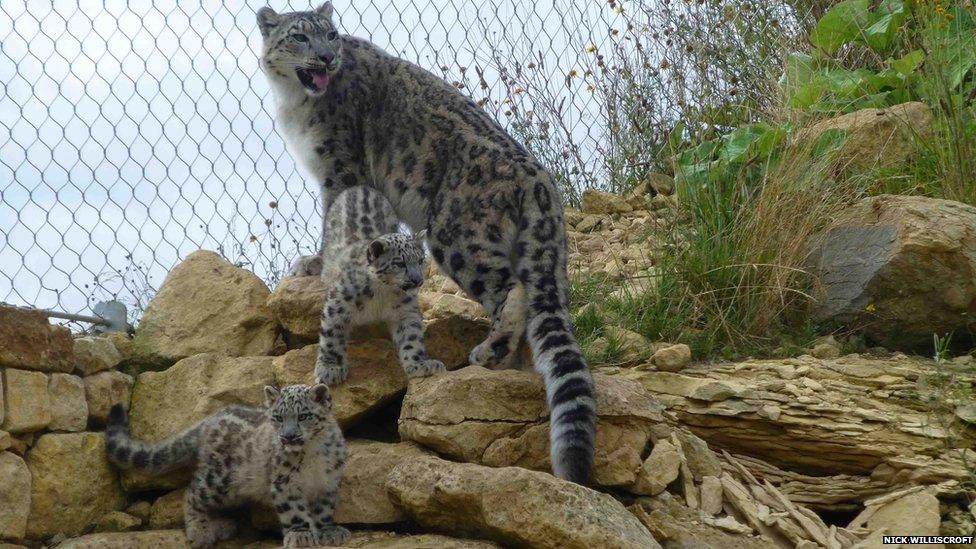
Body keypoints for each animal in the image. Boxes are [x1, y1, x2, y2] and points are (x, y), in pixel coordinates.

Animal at [105, 384, 348, 544]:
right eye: (278, 417)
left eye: (304, 416)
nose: (288, 436)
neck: (312, 454)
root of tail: (209, 420)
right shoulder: (284, 482)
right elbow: (295, 510)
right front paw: (301, 535)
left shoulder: (329, 481)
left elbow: (324, 509)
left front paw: (329, 532)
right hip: (219, 480)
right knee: (192, 493)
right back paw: (201, 530)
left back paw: (223, 526)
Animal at [258, 2, 596, 482]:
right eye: (301, 36)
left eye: (331, 34)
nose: (326, 57)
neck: (295, 102)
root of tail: (542, 182)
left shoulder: (339, 165)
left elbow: (331, 215)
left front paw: (316, 262)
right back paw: (506, 358)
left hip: (457, 236)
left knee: (512, 290)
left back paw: (488, 352)